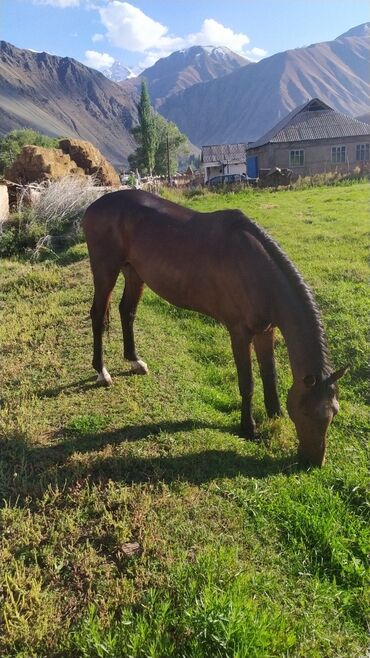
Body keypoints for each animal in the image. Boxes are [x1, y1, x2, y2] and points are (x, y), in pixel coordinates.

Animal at [82, 188, 348, 466]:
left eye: (333, 413)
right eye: (306, 413)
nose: (313, 463)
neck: (257, 271)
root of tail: (94, 206)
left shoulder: (266, 330)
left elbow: (270, 375)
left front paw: (275, 415)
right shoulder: (239, 333)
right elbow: (247, 382)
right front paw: (248, 428)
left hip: (134, 272)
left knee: (127, 311)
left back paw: (134, 361)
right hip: (105, 271)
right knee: (97, 316)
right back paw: (102, 372)